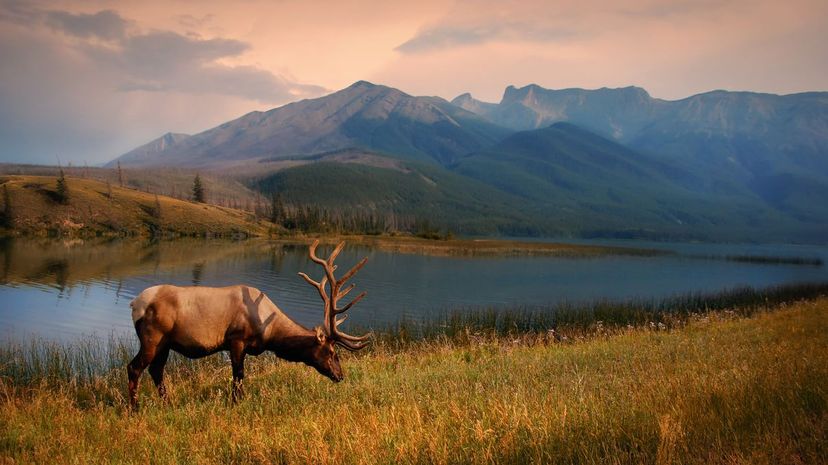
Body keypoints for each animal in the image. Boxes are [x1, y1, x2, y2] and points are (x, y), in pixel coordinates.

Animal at [127, 239, 372, 406]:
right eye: (332, 352)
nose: (340, 375)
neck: (269, 331)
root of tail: (134, 304)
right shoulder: (236, 339)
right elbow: (238, 376)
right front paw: (237, 402)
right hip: (152, 338)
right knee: (134, 367)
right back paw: (134, 409)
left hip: (165, 344)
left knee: (156, 370)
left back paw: (167, 403)